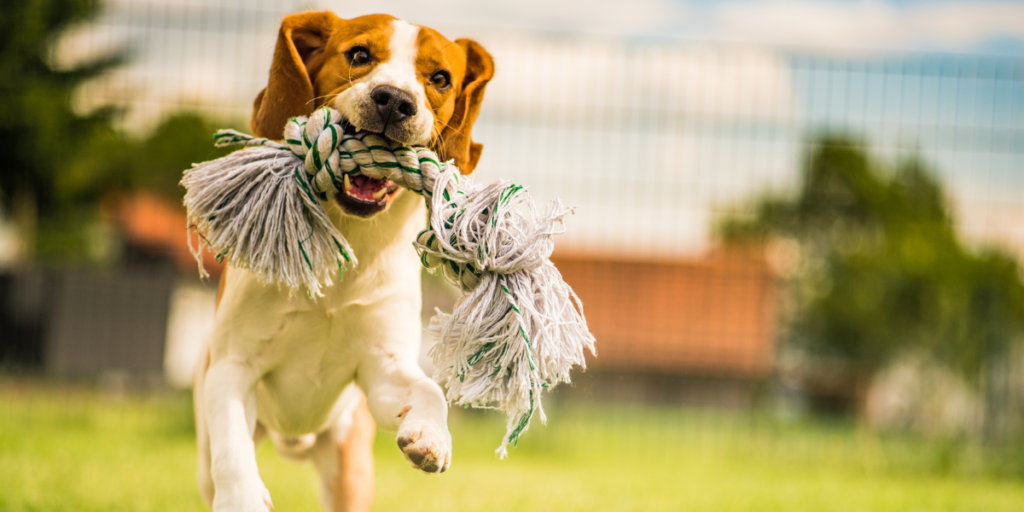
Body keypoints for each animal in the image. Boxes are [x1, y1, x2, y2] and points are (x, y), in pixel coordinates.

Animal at [192, 12, 495, 512]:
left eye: (440, 79)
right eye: (359, 54)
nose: (395, 100)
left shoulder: (379, 371)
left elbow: (428, 388)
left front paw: (430, 434)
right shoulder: (232, 366)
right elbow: (232, 452)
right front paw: (242, 497)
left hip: (348, 464)